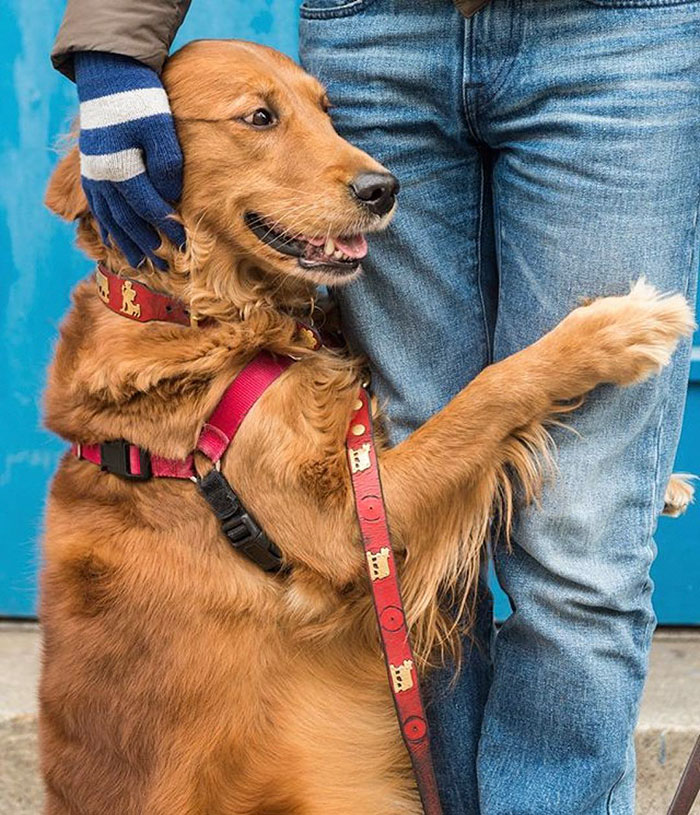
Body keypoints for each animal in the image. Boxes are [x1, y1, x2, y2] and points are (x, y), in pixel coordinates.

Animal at [42, 39, 696, 815]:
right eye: (259, 117)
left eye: (328, 109)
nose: (384, 189)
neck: (195, 315)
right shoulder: (336, 526)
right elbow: (484, 395)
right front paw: (610, 333)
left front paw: (669, 483)